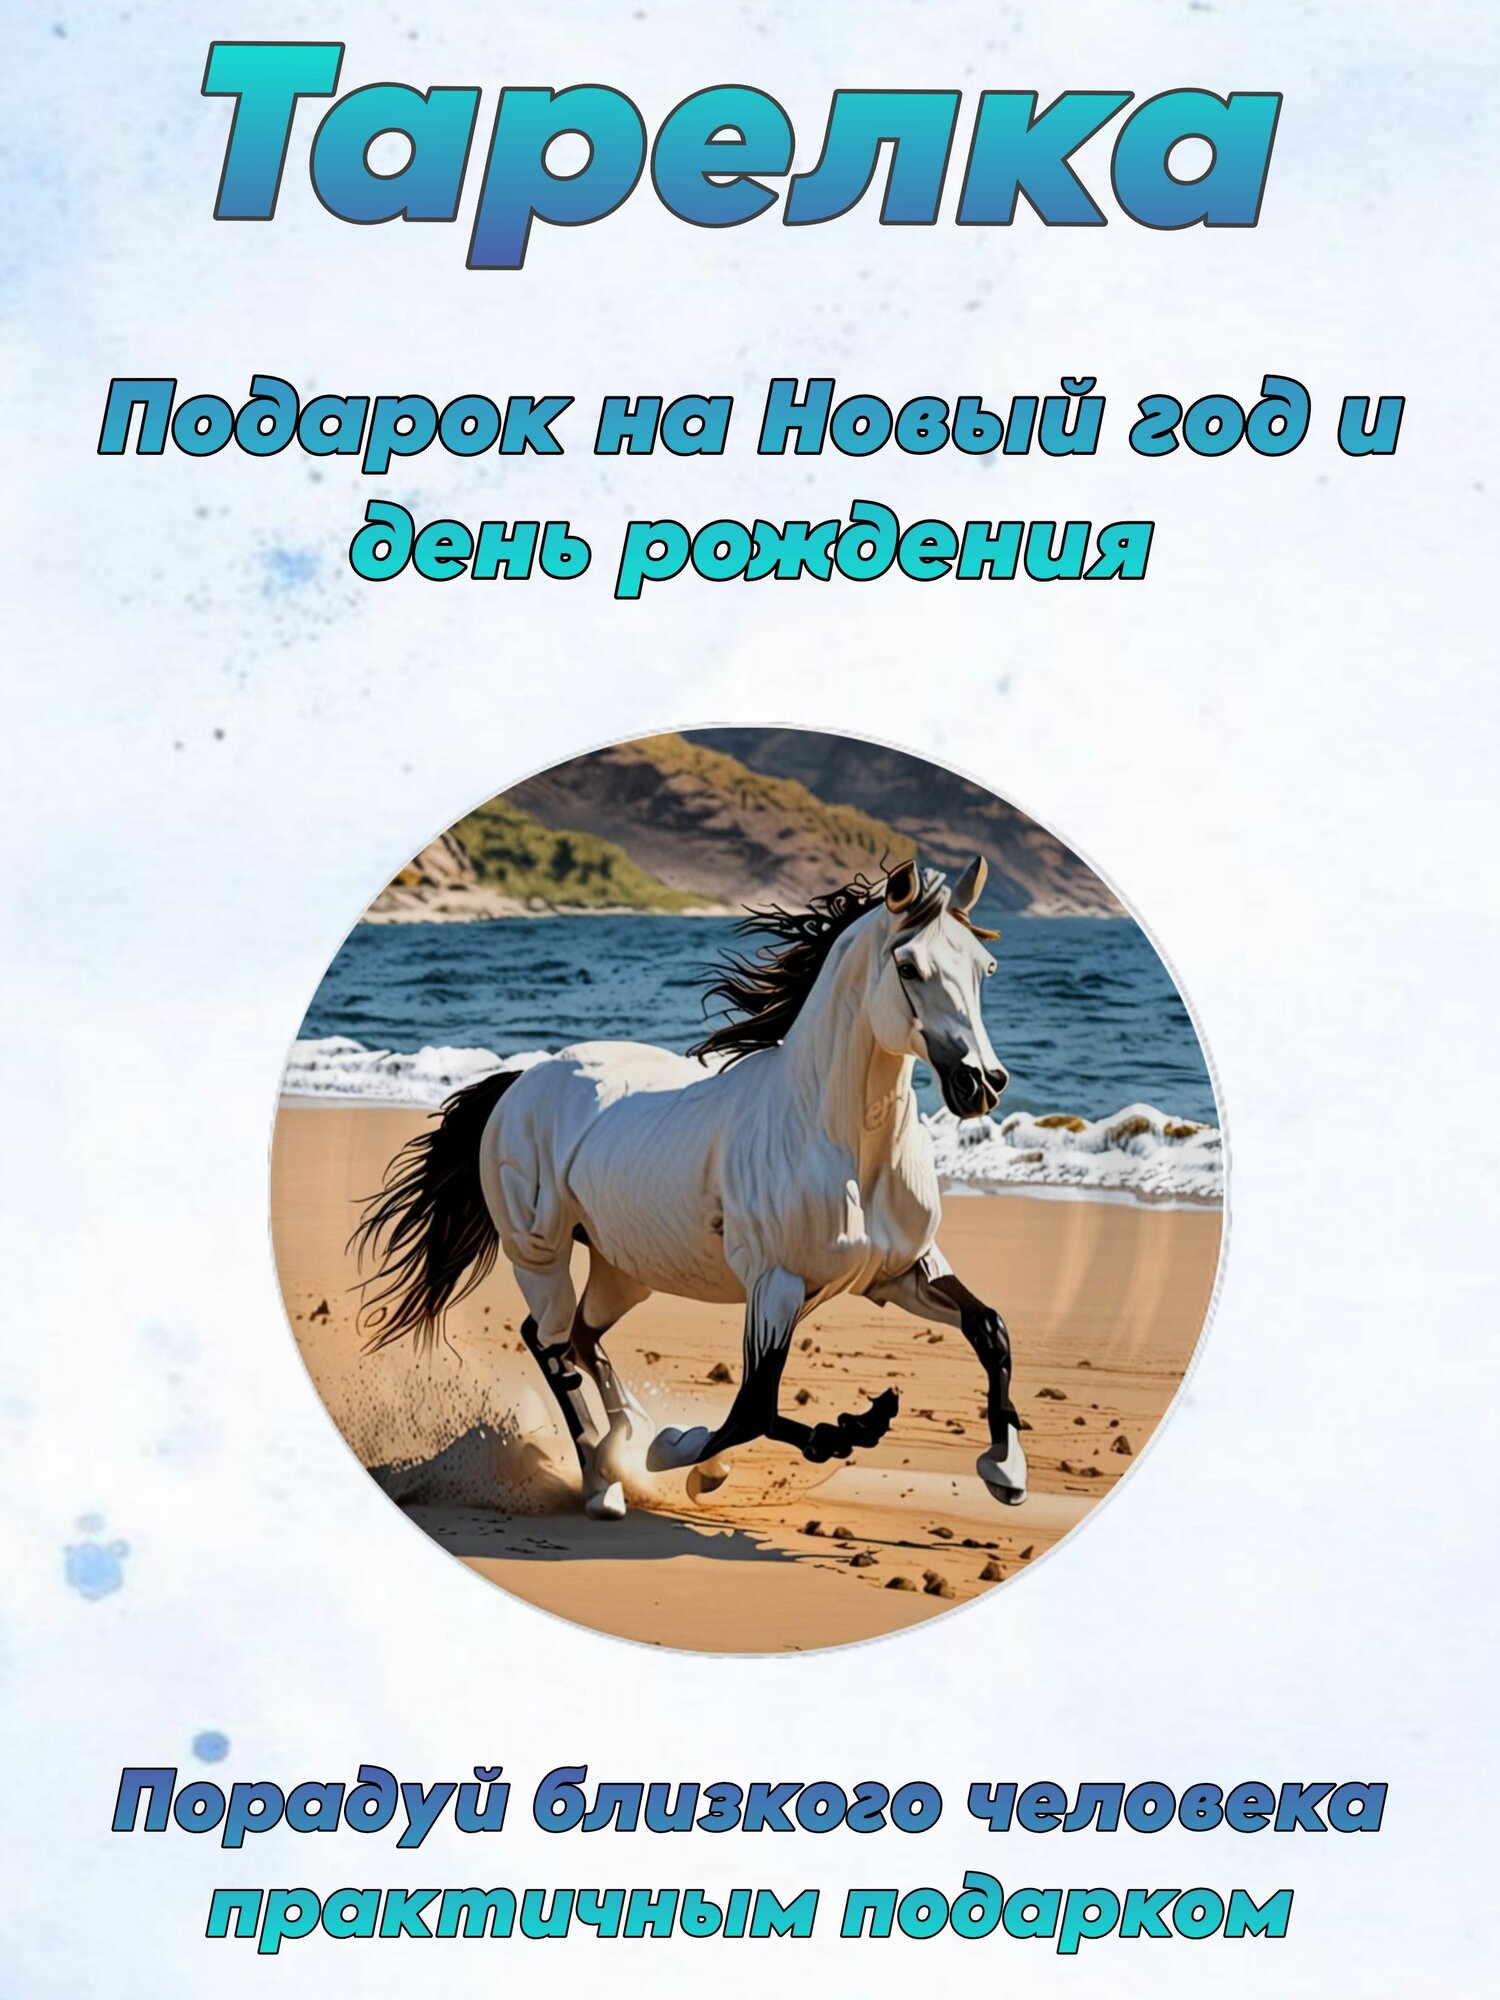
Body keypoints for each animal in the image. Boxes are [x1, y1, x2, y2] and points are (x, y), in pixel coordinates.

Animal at [351, 855, 1028, 1522]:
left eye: (985, 967)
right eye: (908, 966)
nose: (982, 1084)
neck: (836, 1138)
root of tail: (520, 1080)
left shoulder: (904, 1270)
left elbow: (990, 1328)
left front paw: (1005, 1472)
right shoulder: (776, 1284)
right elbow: (751, 1408)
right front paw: (692, 1451)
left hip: (625, 1270)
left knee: (580, 1337)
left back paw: (624, 1436)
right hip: (539, 1255)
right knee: (549, 1343)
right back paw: (604, 1481)